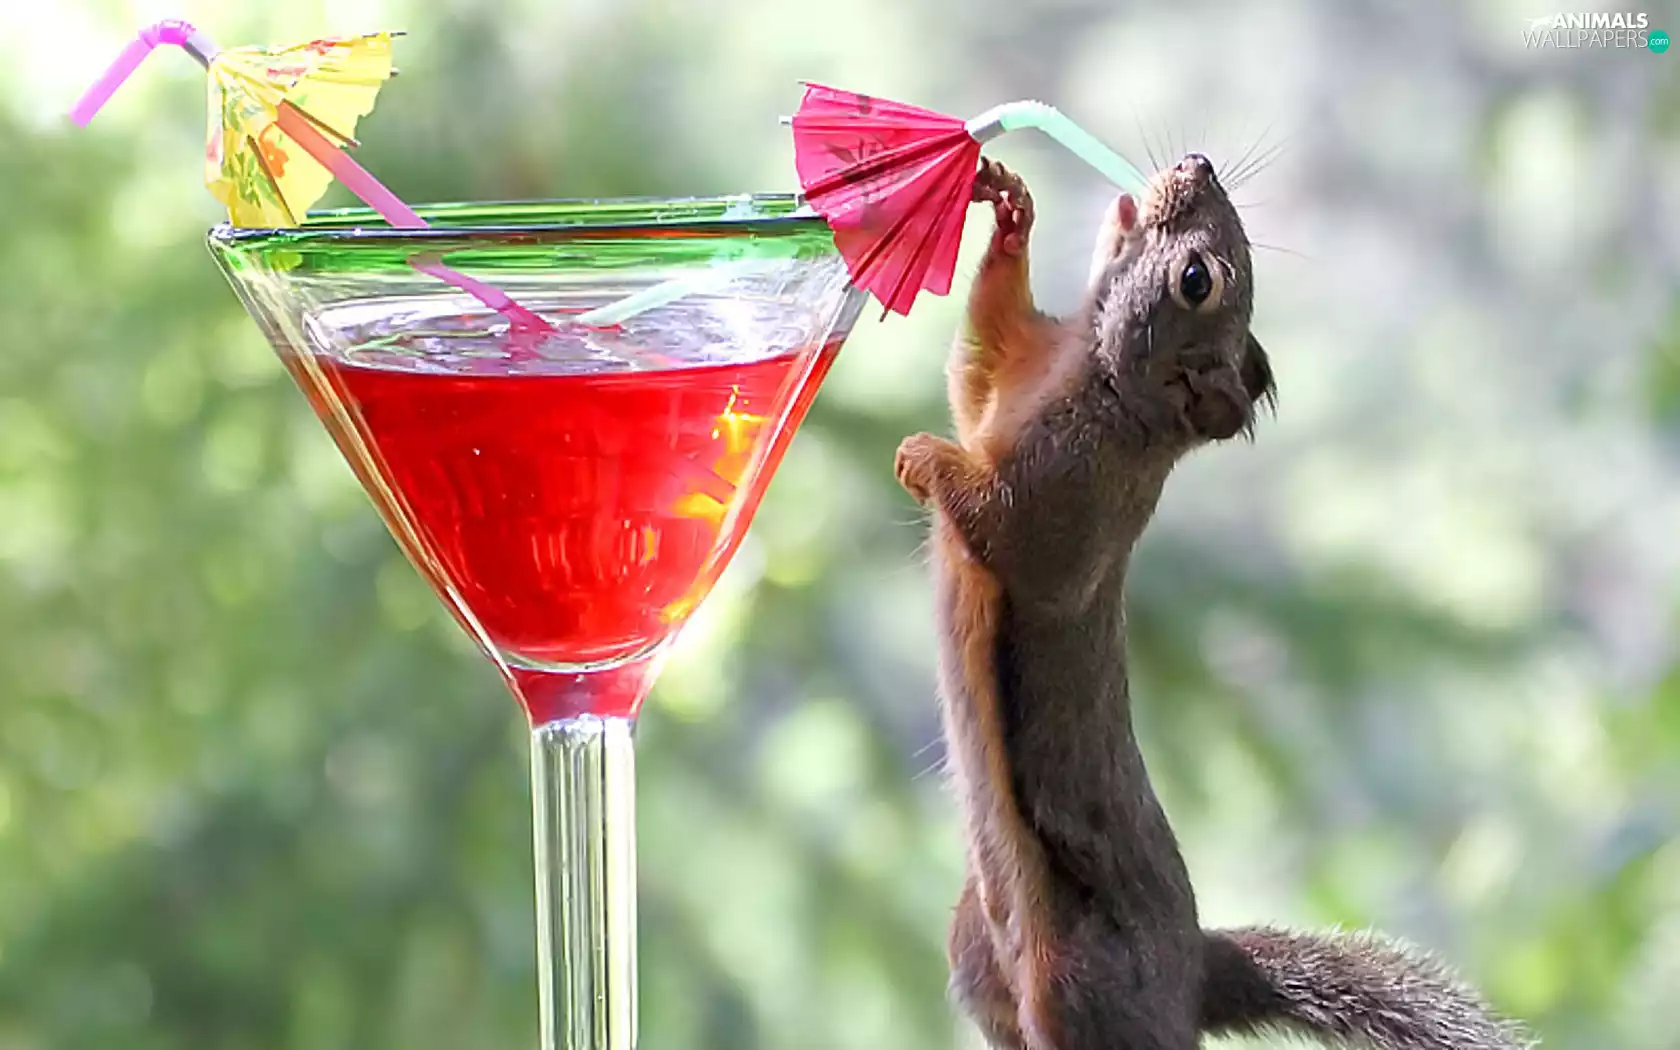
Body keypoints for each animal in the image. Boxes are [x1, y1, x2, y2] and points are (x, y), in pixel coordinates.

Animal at [893, 155, 1532, 1050]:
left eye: (1197, 281)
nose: (1198, 164)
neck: (1093, 375)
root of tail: (1196, 972)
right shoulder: (1009, 378)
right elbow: (975, 363)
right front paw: (1011, 212)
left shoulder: (1068, 502)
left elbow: (1001, 525)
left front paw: (924, 457)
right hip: (975, 945)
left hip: (1084, 989)